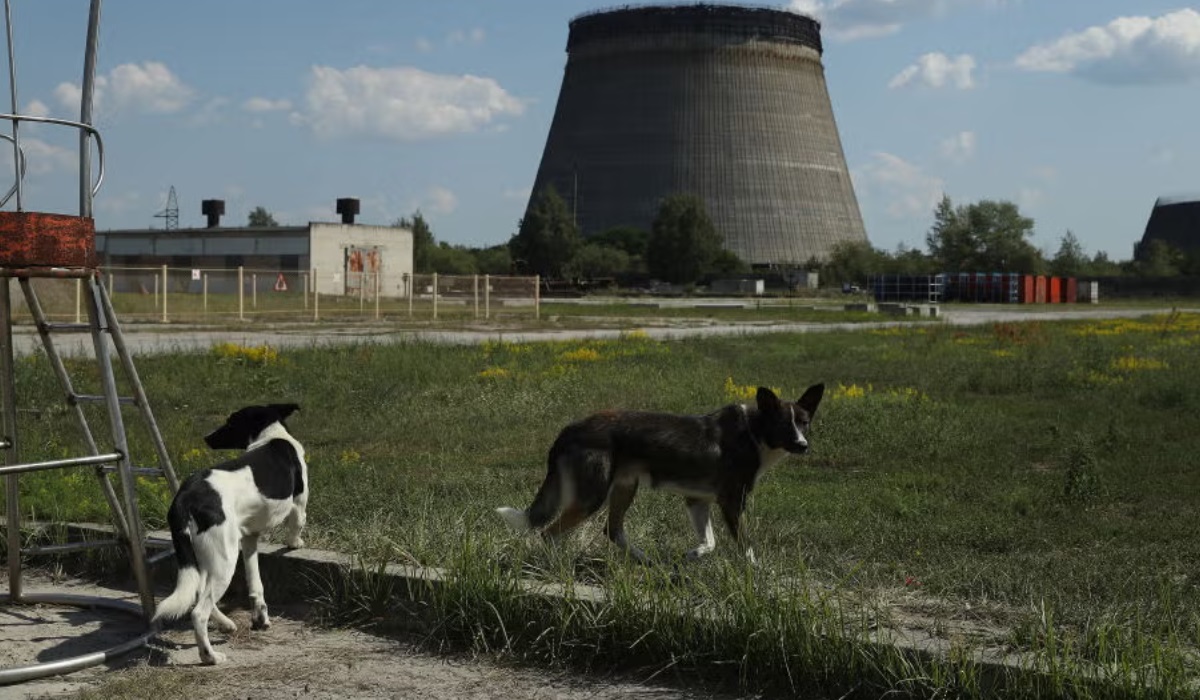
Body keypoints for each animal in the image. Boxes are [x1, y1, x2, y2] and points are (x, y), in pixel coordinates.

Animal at [154, 403, 307, 667]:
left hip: (206, 557)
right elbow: (297, 523)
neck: (271, 434)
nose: (206, 437)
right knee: (199, 611)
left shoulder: (250, 538)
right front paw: (295, 543)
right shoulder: (299, 502)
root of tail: (185, 496)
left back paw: (226, 624)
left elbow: (256, 584)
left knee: (199, 593)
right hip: (224, 559)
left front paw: (261, 618)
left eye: (230, 422)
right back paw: (209, 656)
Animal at [496, 386, 825, 566]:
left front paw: (693, 555)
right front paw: (755, 574)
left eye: (804, 422)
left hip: (625, 487)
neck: (754, 432)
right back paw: (557, 565)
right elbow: (745, 545)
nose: (802, 445)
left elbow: (709, 541)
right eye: (783, 424)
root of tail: (569, 429)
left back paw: (645, 561)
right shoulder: (732, 502)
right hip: (592, 496)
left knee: (612, 530)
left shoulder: (697, 500)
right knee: (549, 533)